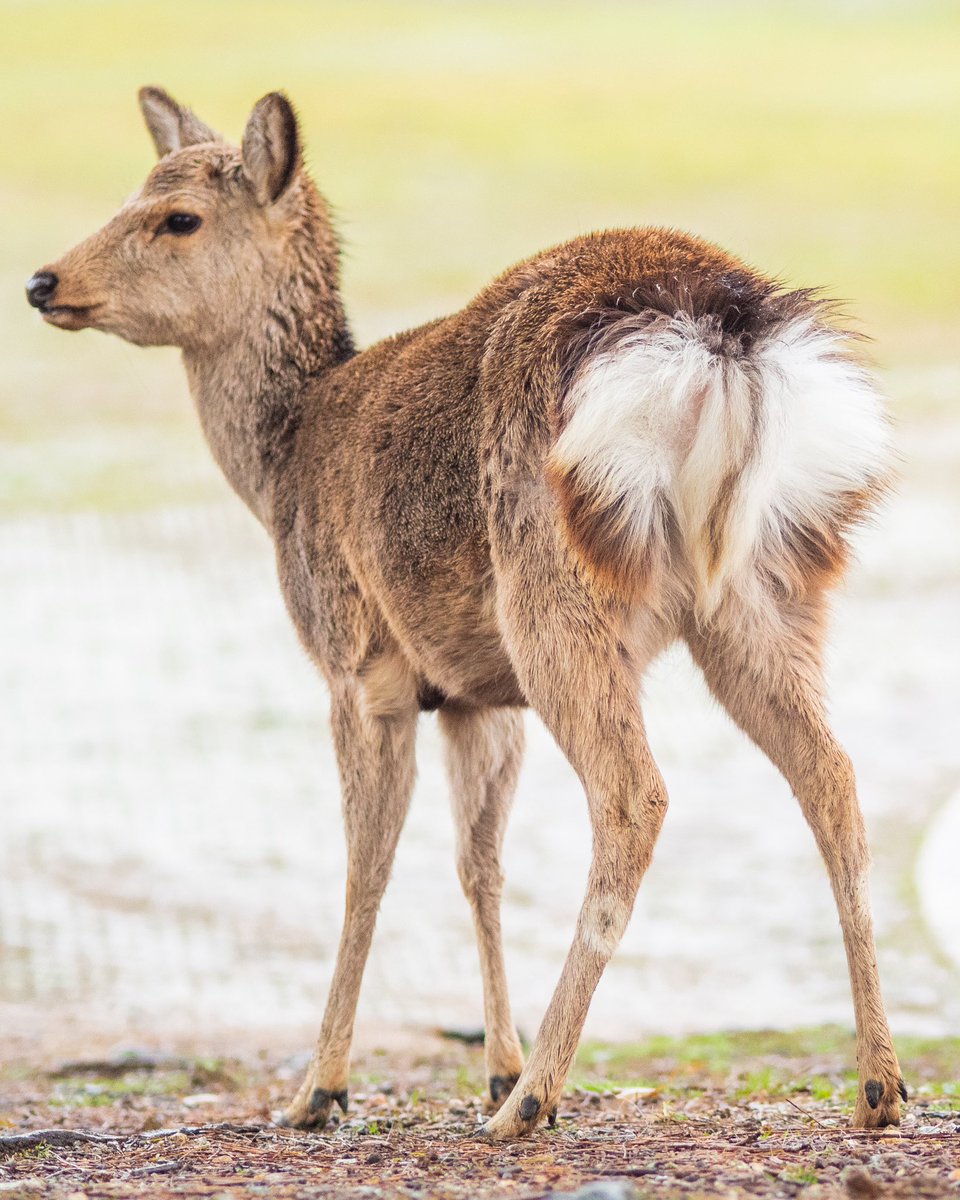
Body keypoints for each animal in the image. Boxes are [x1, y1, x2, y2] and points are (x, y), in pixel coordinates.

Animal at [26, 87, 905, 1138]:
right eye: (135, 191)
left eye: (178, 217)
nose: (42, 280)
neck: (283, 461)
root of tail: (722, 338)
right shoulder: (480, 694)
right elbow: (477, 864)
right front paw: (490, 1062)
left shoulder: (357, 659)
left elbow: (367, 864)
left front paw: (320, 1090)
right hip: (769, 582)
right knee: (834, 778)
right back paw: (879, 1085)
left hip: (554, 589)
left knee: (635, 795)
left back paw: (532, 1104)